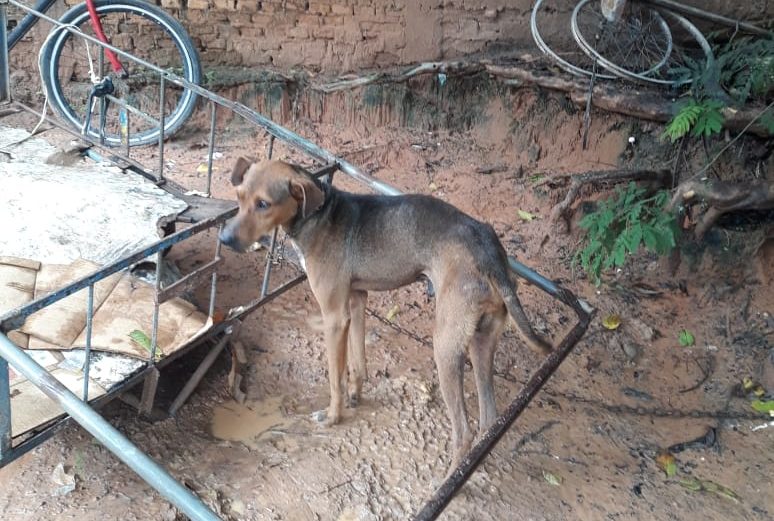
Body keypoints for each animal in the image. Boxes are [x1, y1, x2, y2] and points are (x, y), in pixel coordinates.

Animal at [221, 156, 556, 470]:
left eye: (263, 204)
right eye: (238, 196)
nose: (224, 240)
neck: (318, 213)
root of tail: (489, 250)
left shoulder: (334, 316)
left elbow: (335, 378)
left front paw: (333, 416)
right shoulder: (356, 301)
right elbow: (358, 362)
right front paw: (356, 395)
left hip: (446, 346)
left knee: (464, 432)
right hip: (481, 339)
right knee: (488, 420)